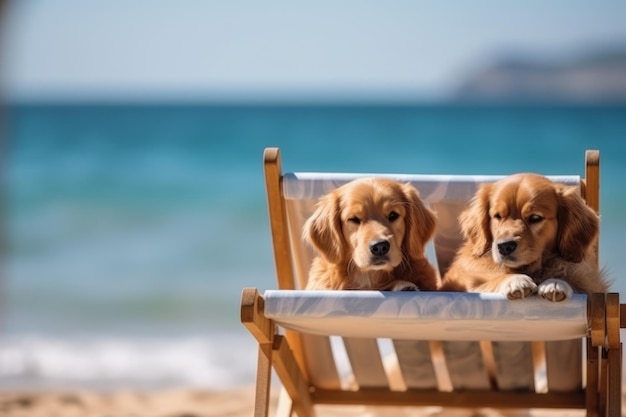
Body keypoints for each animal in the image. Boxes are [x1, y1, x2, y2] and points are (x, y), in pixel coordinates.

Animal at [438, 171, 604, 300]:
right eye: (497, 216)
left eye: (535, 218)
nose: (504, 246)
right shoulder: (465, 285)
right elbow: (490, 281)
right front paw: (514, 280)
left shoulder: (591, 286)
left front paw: (555, 282)